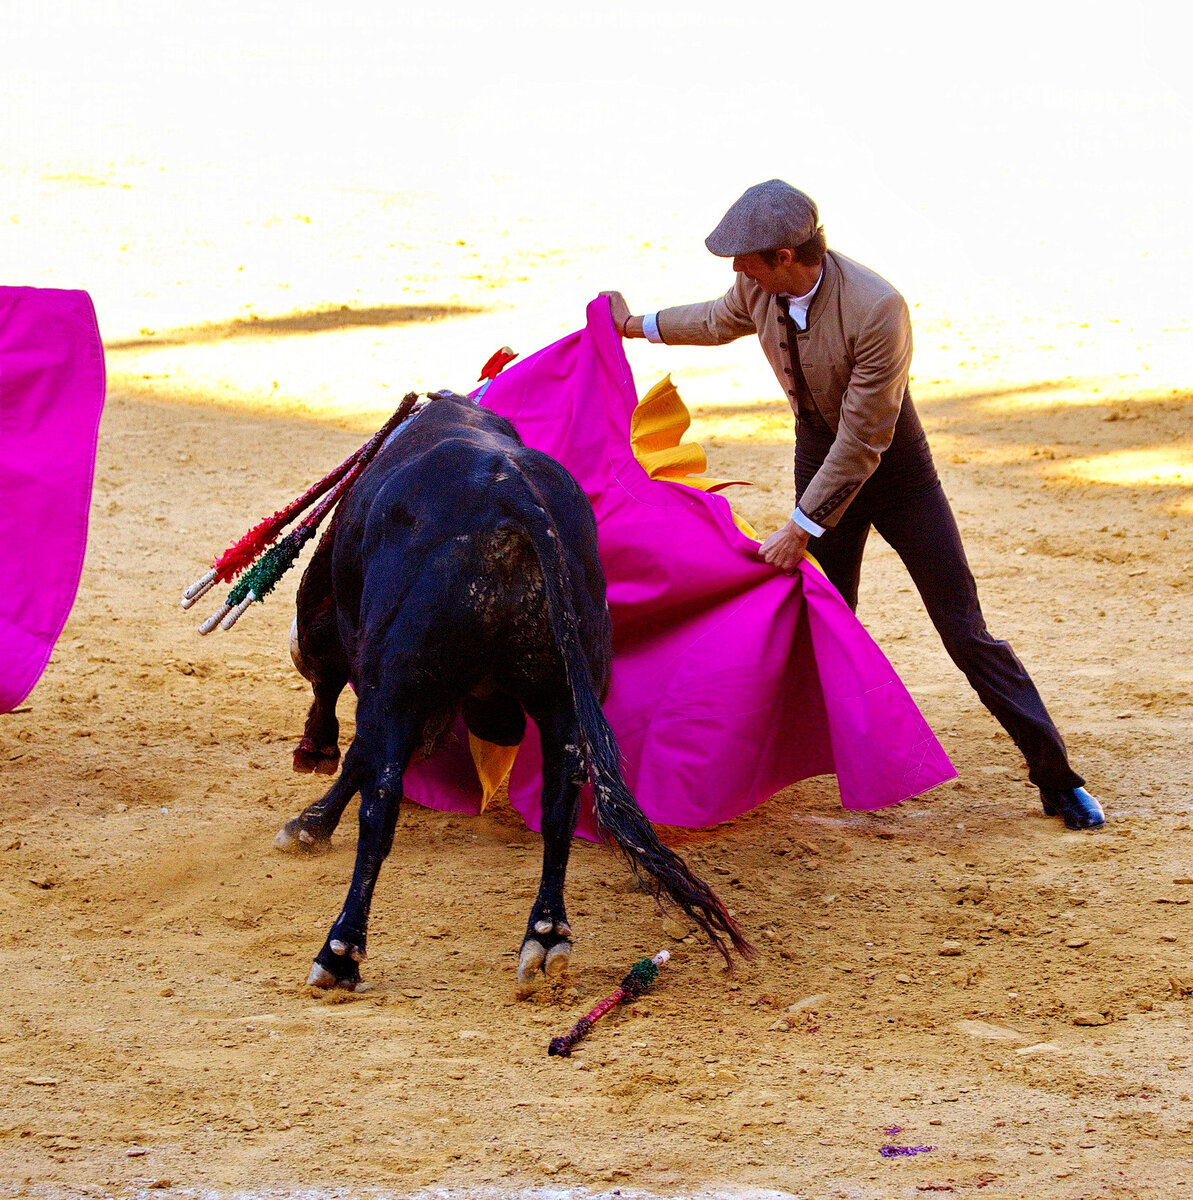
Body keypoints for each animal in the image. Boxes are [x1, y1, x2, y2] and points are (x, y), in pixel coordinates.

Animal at [274, 396, 748, 993]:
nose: (310, 751)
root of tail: (514, 496)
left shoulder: (382, 681)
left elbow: (364, 760)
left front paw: (309, 825)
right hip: (564, 695)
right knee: (559, 800)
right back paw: (545, 937)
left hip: (401, 687)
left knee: (381, 806)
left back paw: (339, 952)